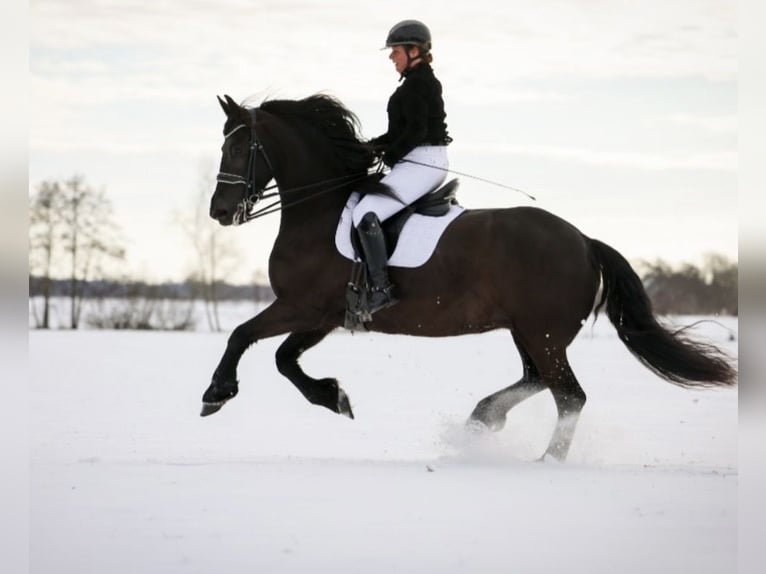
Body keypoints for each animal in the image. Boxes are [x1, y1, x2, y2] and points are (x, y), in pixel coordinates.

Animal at [202, 93, 736, 461]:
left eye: (241, 146)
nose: (220, 212)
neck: (320, 208)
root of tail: (584, 241)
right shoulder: (325, 315)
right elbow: (283, 358)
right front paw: (335, 397)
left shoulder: (304, 306)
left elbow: (243, 335)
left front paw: (215, 395)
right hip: (529, 332)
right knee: (537, 381)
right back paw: (483, 419)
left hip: (542, 333)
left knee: (569, 395)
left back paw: (545, 460)